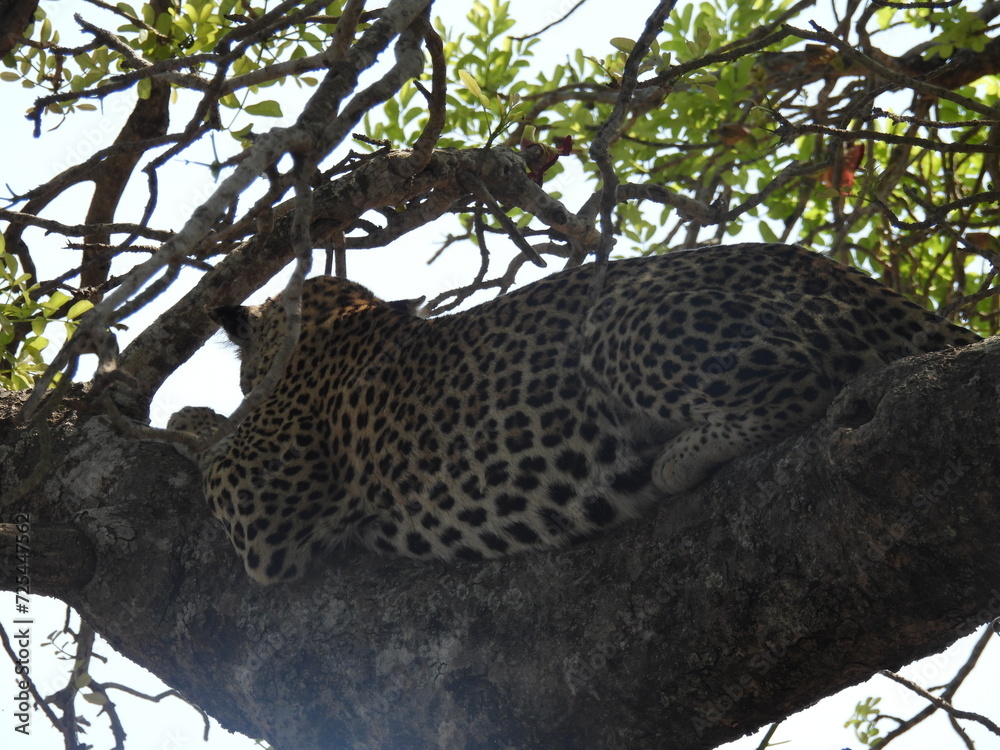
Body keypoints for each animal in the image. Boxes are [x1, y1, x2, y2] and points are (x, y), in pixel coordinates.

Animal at [168, 244, 980, 584]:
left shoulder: (267, 514)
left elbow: (215, 454)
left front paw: (190, 420)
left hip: (620, 320)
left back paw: (673, 459)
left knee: (802, 384)